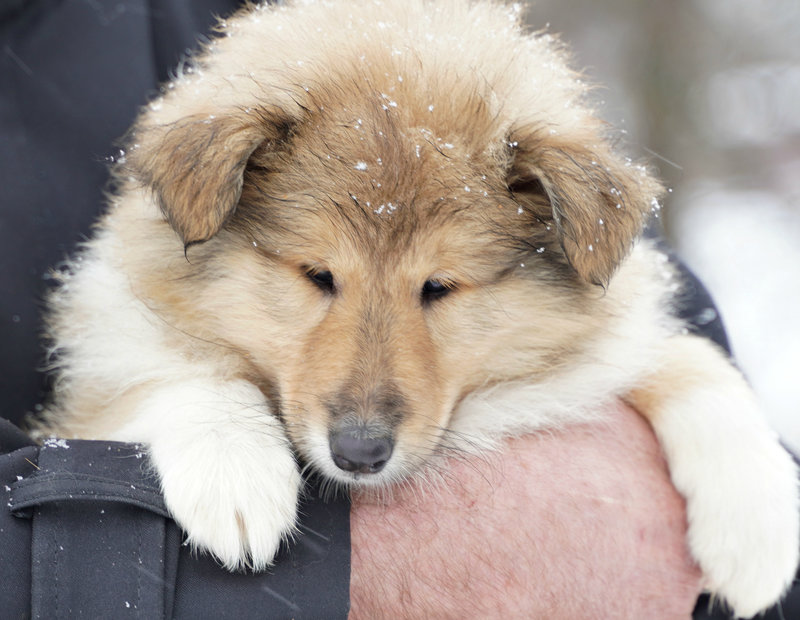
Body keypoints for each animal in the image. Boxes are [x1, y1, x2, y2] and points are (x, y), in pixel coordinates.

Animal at [37, 0, 800, 616]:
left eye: (439, 287)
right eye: (317, 275)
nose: (359, 454)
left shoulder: (585, 362)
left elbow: (685, 356)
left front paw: (757, 530)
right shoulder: (98, 369)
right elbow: (171, 366)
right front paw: (234, 474)